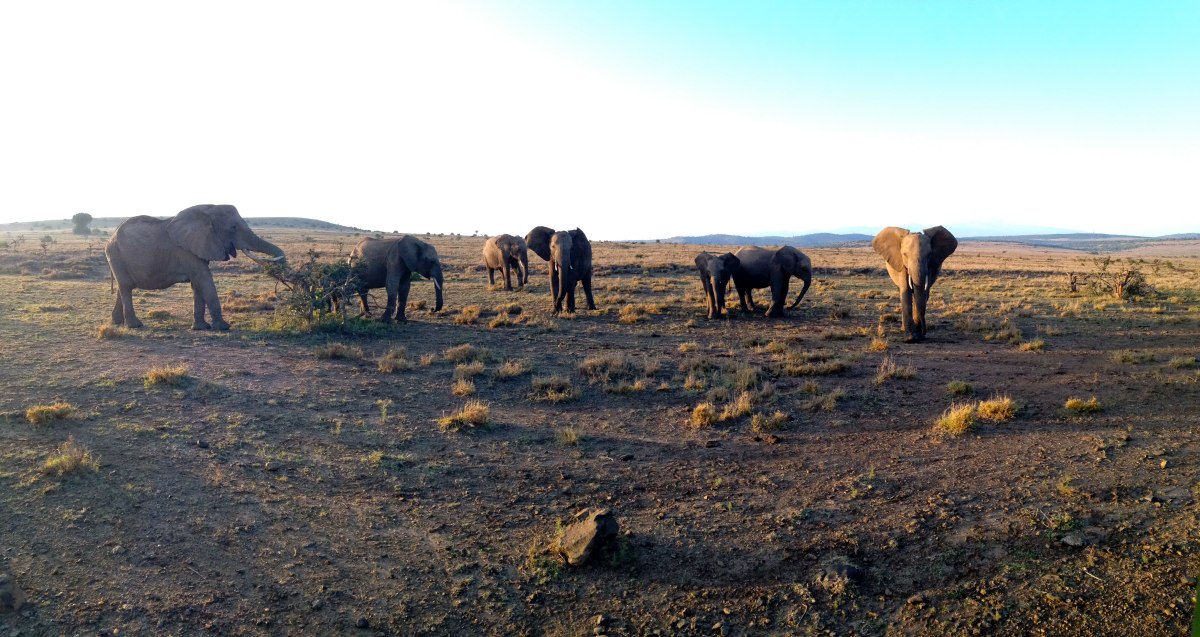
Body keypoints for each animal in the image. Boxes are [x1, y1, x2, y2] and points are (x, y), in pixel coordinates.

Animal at [105, 204, 285, 330]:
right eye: (232, 228)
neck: (208, 210)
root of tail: (111, 236)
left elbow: (198, 284)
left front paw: (201, 328)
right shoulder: (186, 250)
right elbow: (204, 279)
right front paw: (224, 327)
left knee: (123, 287)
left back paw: (117, 322)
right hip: (115, 254)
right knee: (126, 287)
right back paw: (135, 326)